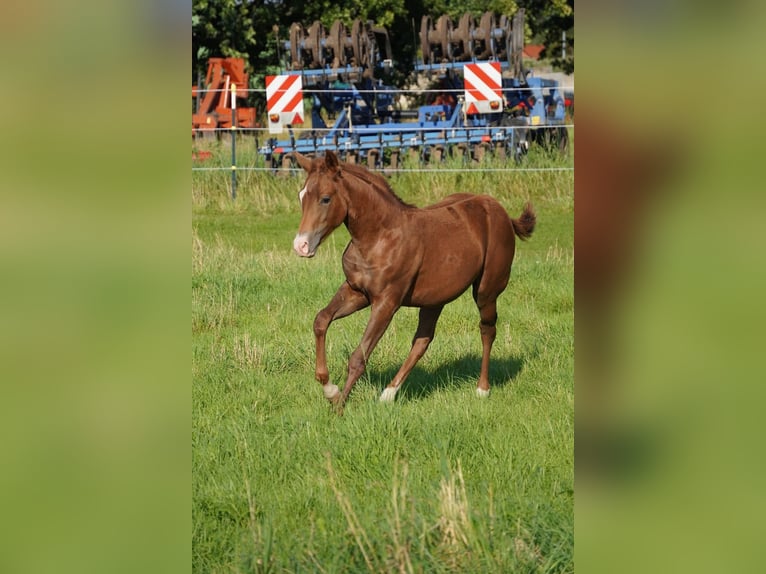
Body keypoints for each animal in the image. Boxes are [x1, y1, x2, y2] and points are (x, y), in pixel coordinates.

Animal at [292, 152, 536, 414]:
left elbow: (359, 357)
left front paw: (338, 406)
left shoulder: (387, 302)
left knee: (487, 330)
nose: (301, 246)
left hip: (486, 291)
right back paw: (388, 393)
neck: (379, 236)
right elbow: (321, 320)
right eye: (301, 196)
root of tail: (502, 212)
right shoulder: (356, 291)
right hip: (434, 299)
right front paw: (329, 387)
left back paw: (482, 389)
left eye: (325, 199)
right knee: (422, 340)